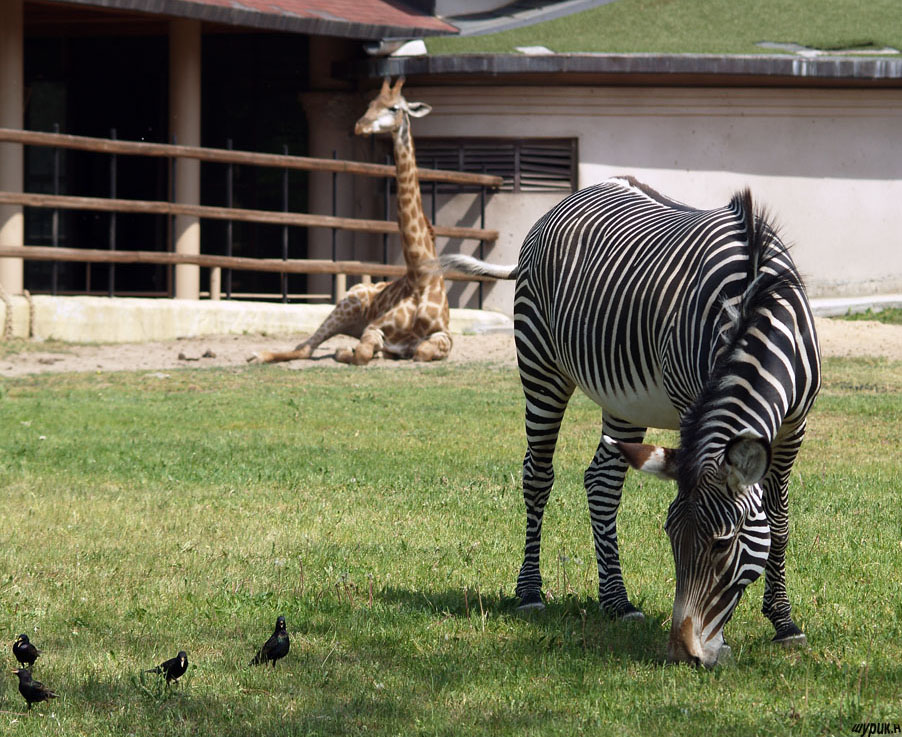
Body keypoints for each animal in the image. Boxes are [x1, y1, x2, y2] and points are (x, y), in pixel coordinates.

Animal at [251, 77, 452, 366]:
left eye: (393, 107)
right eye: (371, 103)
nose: (361, 125)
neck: (419, 279)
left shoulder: (445, 335)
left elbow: (421, 351)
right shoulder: (373, 327)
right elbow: (365, 353)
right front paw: (346, 352)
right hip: (346, 304)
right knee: (304, 348)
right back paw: (259, 355)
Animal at [442, 175, 824, 664]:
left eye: (723, 544)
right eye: (670, 538)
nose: (682, 653)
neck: (755, 309)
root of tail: (568, 200)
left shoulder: (795, 425)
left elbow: (778, 517)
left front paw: (783, 620)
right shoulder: (692, 406)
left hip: (624, 400)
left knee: (602, 482)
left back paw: (617, 601)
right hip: (540, 364)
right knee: (537, 474)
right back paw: (529, 592)